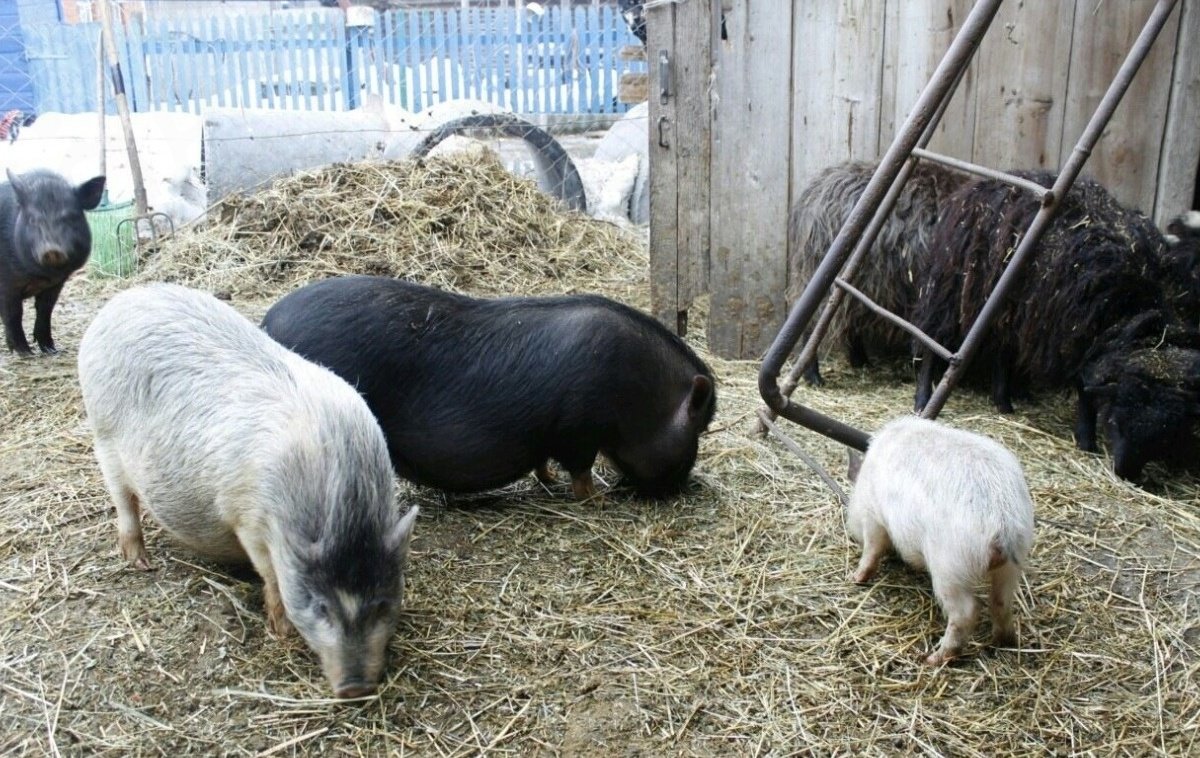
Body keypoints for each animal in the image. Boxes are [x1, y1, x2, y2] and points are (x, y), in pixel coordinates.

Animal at [0, 166, 106, 355]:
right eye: (33, 219)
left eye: (70, 217)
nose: (52, 249)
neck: (40, 276)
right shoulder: (6, 283)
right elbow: (13, 314)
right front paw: (25, 353)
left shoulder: (56, 284)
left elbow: (45, 310)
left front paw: (51, 350)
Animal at [78, 284, 417, 700]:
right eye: (320, 606)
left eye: (382, 604)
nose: (355, 688)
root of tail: (121, 300)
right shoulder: (248, 520)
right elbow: (270, 576)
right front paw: (281, 632)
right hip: (103, 435)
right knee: (124, 501)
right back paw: (140, 562)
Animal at [262, 275, 710, 501]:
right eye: (698, 429)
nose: (688, 486)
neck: (634, 393)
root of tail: (266, 323)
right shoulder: (578, 429)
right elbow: (580, 470)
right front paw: (596, 499)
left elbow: (543, 463)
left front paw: (549, 483)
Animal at [844, 417, 1032, 666]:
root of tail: (1002, 525)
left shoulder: (874, 517)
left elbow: (872, 550)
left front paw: (855, 578)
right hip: (1014, 562)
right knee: (1001, 601)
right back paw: (1004, 642)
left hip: (949, 566)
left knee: (966, 611)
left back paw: (934, 658)